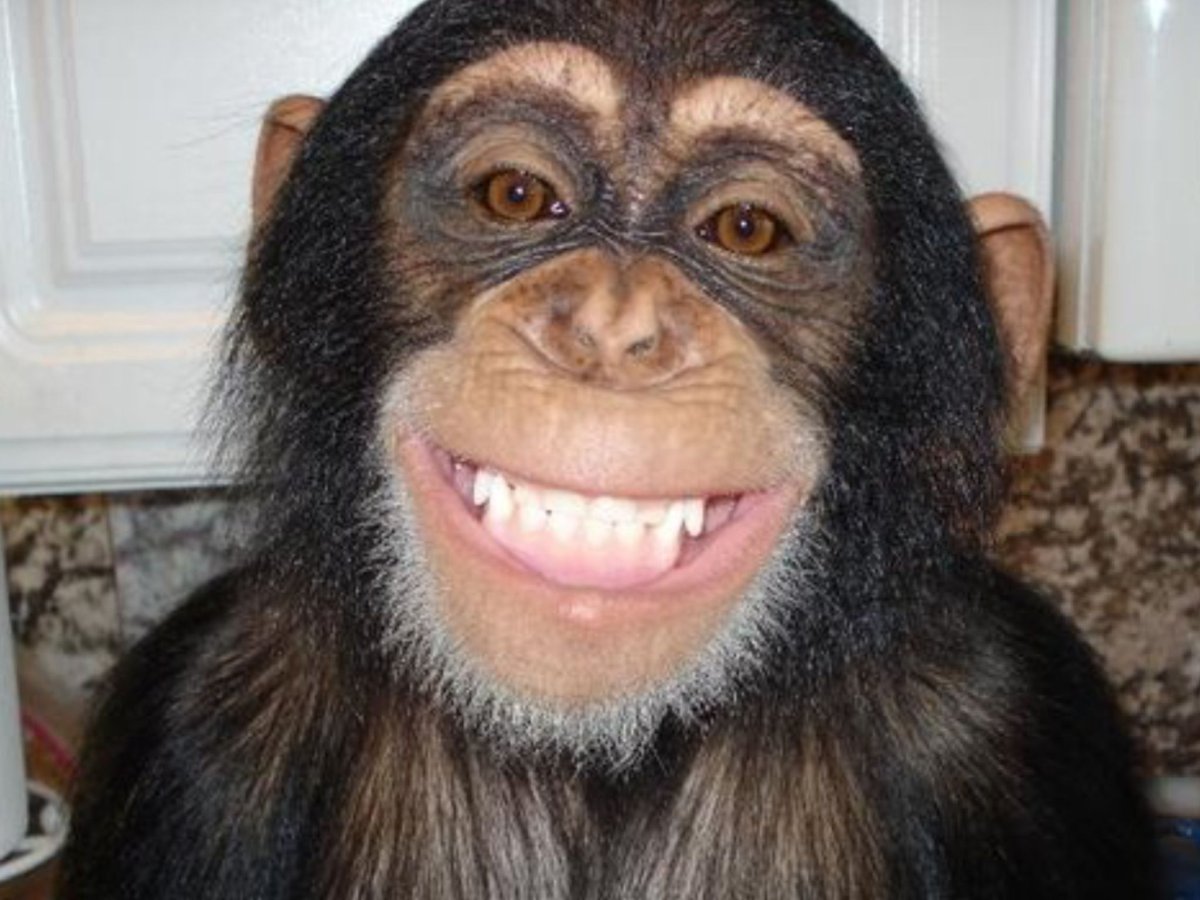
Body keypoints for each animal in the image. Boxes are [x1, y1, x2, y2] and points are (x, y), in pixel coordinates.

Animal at [58, 1, 1157, 898]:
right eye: (513, 194)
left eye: (747, 229)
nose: (612, 327)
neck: (598, 757)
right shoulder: (191, 721)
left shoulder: (1020, 729)